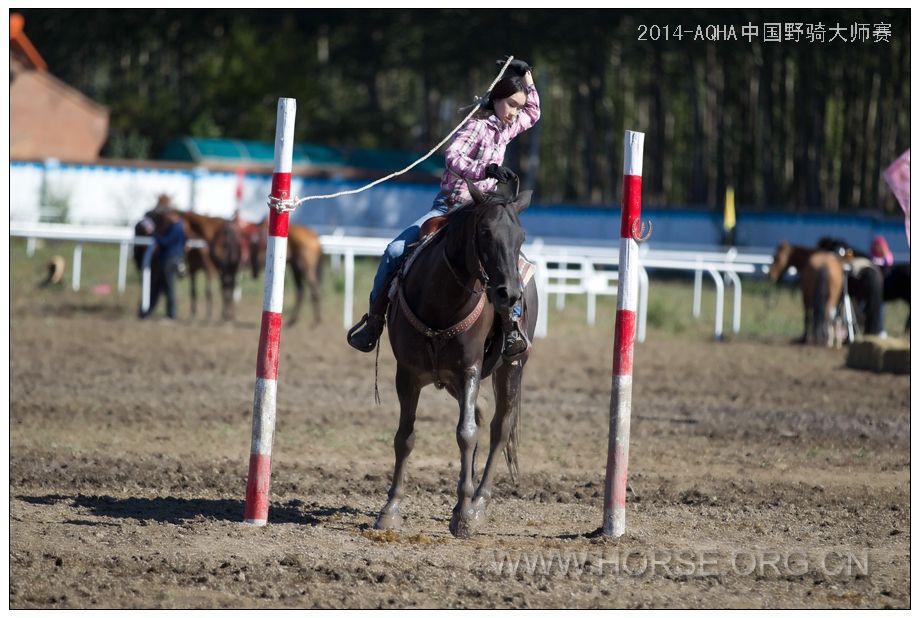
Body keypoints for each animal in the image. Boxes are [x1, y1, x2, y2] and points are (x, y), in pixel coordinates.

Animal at [374, 178, 536, 536]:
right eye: (485, 232)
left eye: (520, 236)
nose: (510, 294)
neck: (441, 303)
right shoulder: (407, 374)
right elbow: (405, 437)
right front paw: (390, 509)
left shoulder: (468, 371)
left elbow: (466, 434)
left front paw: (463, 513)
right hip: (448, 381)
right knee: (481, 412)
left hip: (511, 367)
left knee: (498, 427)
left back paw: (479, 502)